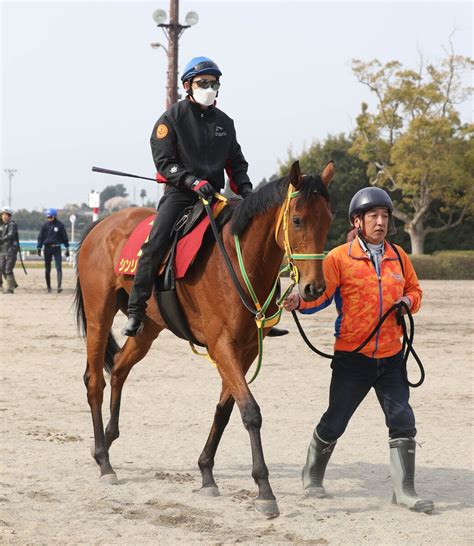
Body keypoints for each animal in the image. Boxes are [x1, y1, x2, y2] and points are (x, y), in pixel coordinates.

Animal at [74, 159, 334, 516]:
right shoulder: (221, 345)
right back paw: (103, 460)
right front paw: (264, 490)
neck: (239, 261)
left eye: (329, 219)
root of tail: (101, 225)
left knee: (120, 370)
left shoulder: (246, 350)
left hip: (148, 328)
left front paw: (207, 473)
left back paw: (109, 440)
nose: (313, 288)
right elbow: (250, 411)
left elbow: (225, 410)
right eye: (297, 220)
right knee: (94, 381)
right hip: (99, 315)